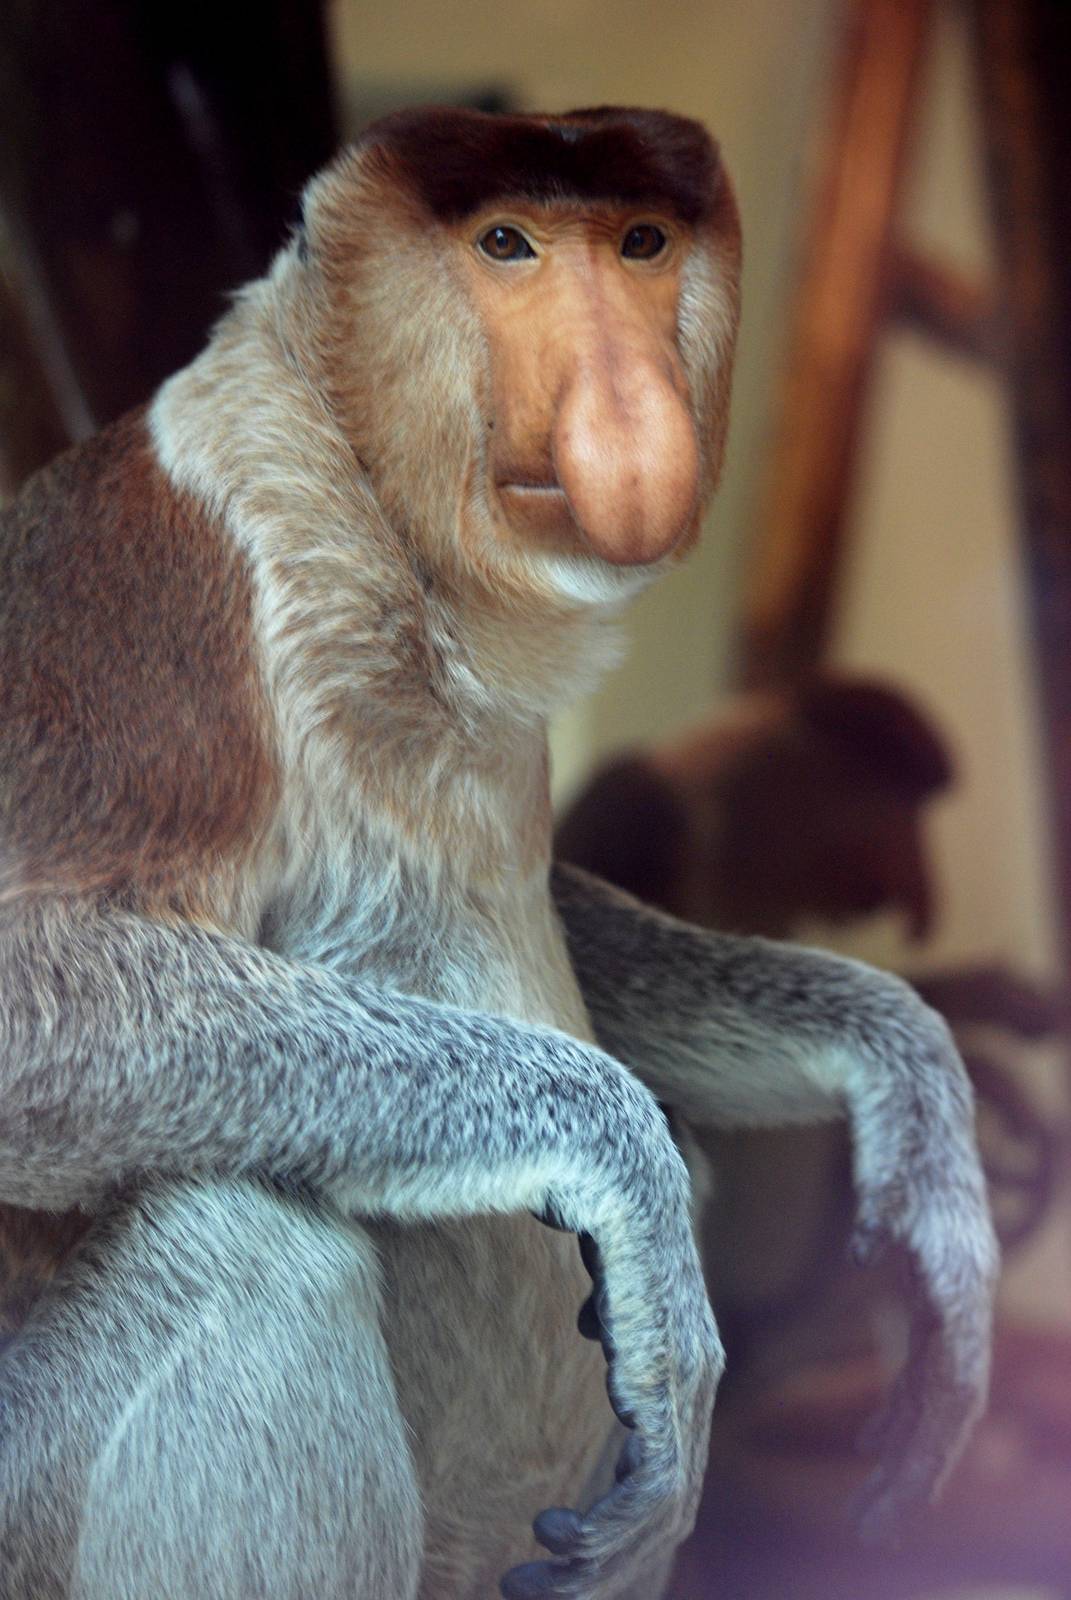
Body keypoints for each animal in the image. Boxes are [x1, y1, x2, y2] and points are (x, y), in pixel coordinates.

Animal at [0, 106, 997, 1600]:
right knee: (253, 1249)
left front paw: (911, 1090)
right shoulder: (161, 610)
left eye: (641, 243)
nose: (625, 416)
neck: (387, 537)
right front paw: (636, 1202)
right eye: (507, 246)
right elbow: (31, 1004)